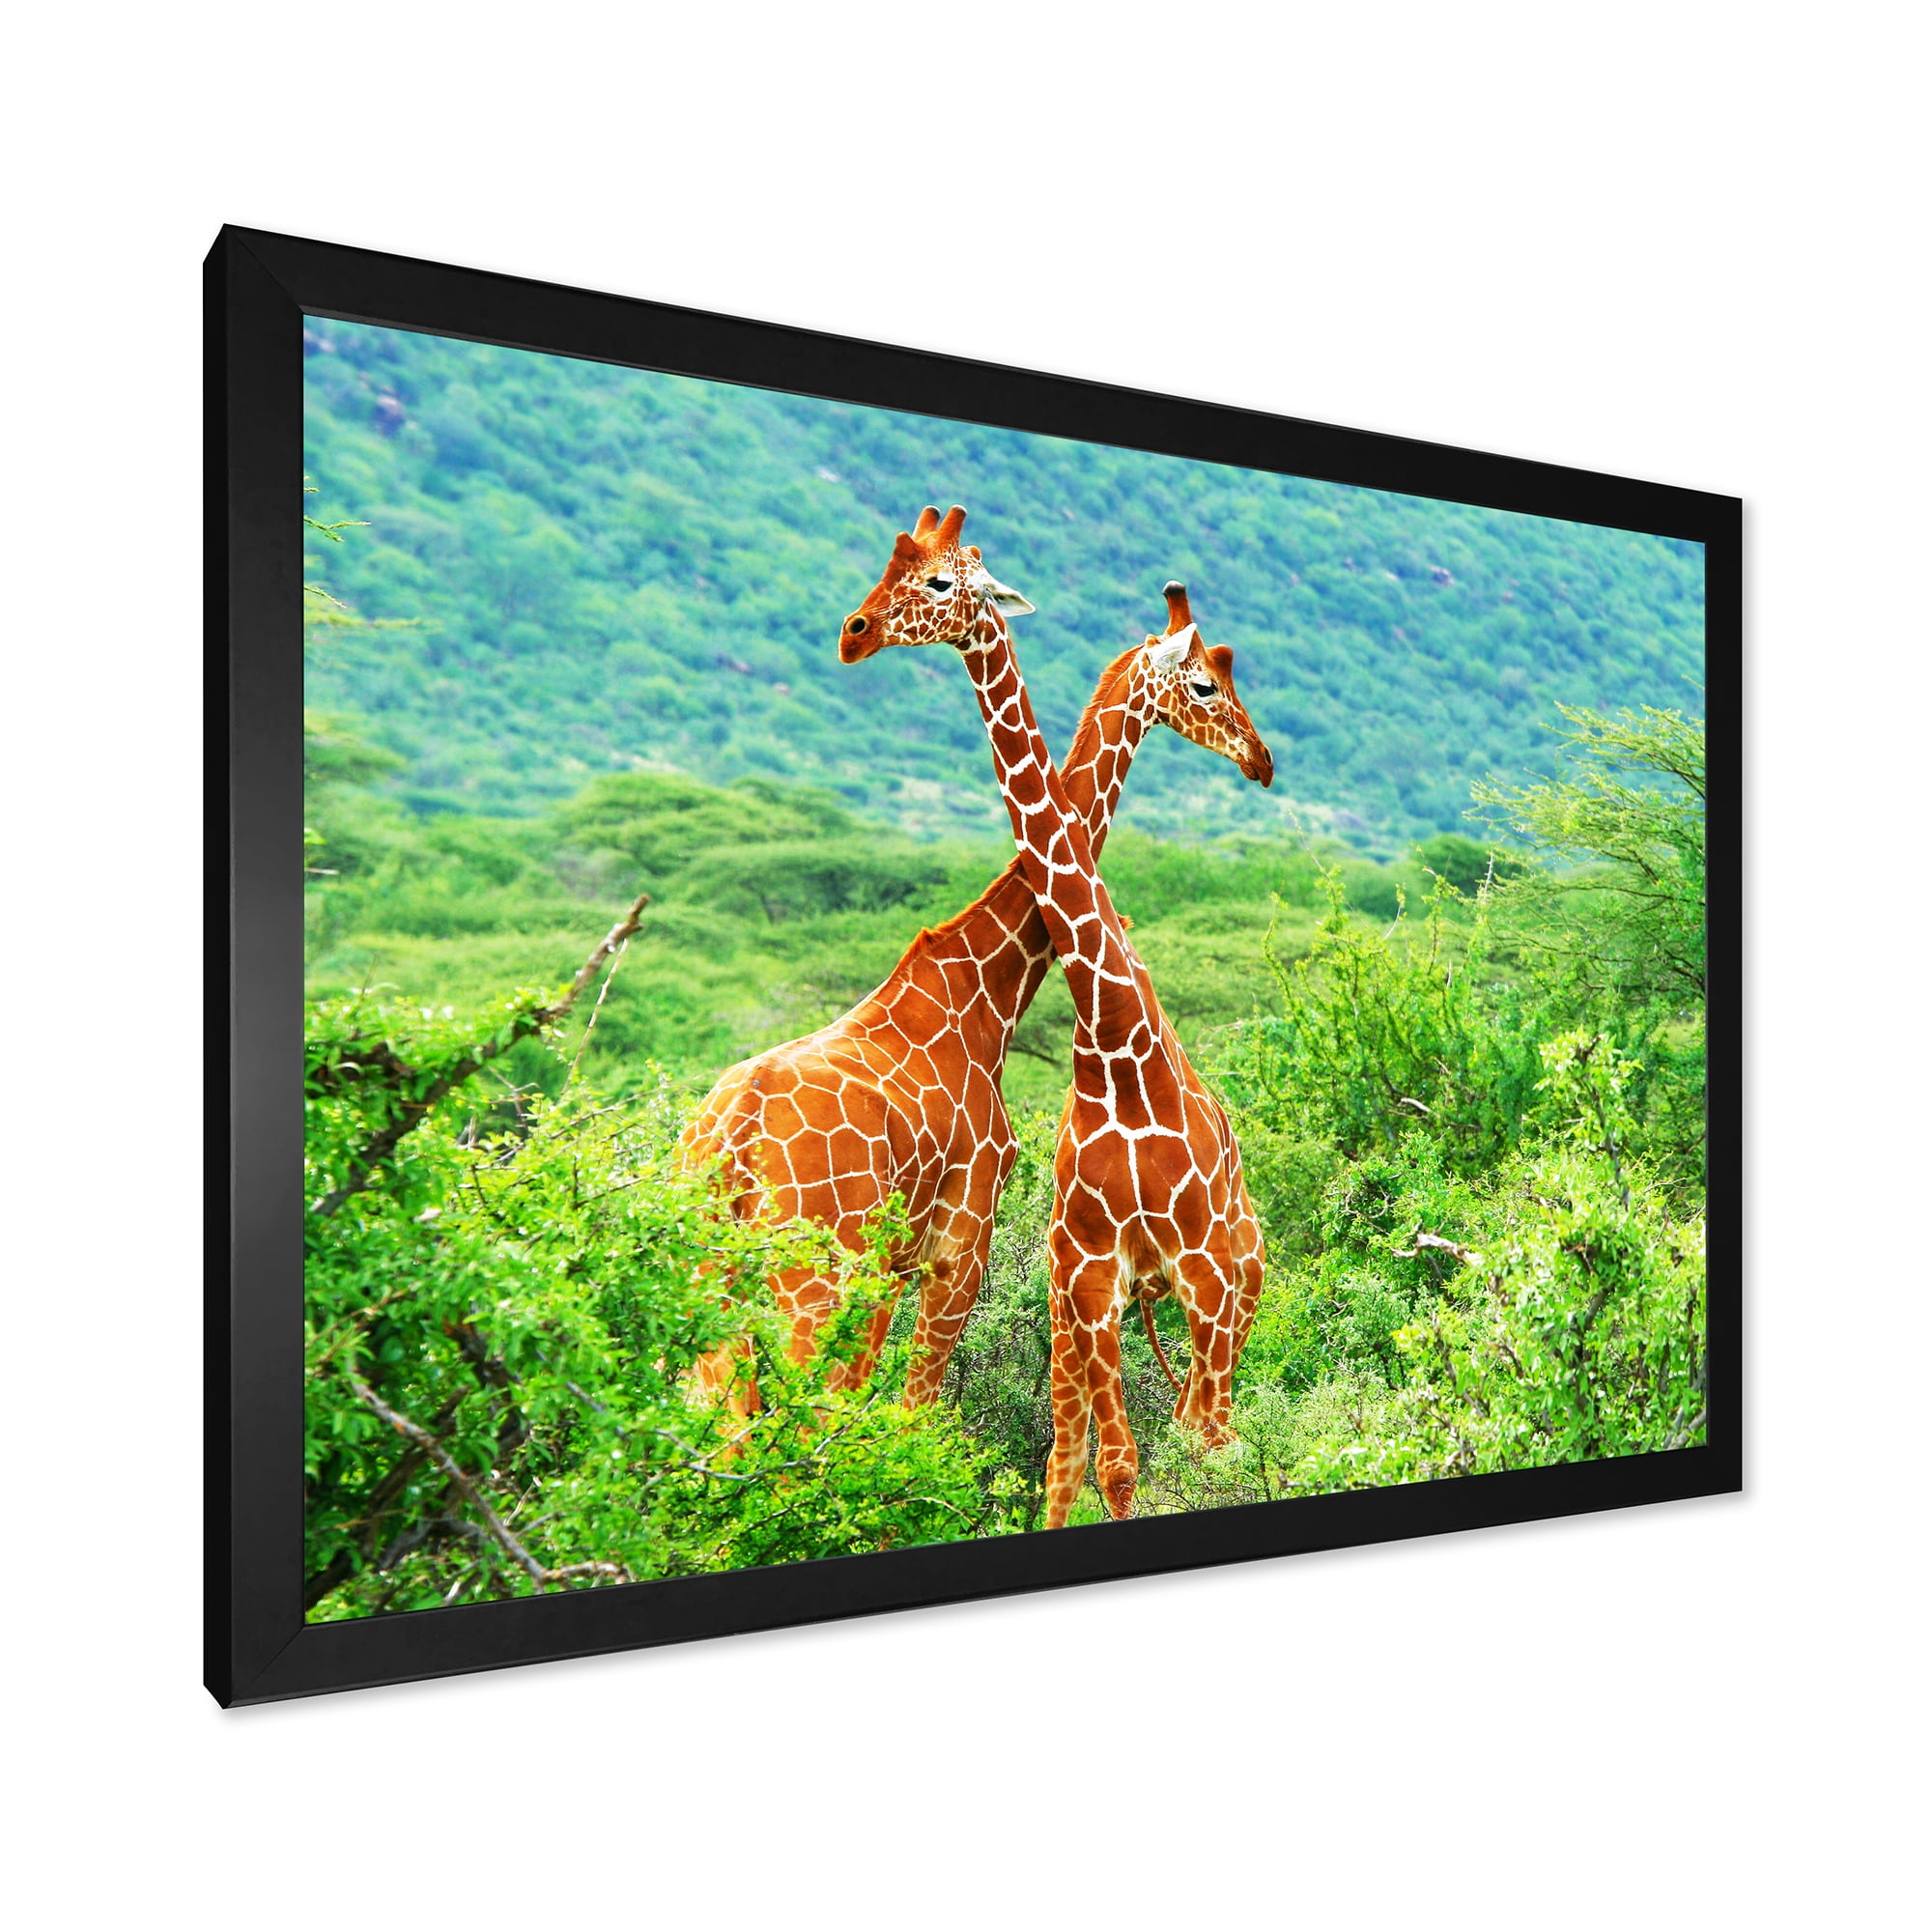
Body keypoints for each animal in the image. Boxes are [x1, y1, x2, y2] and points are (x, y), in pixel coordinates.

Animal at [682, 507, 1272, 1413]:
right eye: (1208, 684)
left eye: (931, 576)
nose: (1259, 758)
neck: (987, 987)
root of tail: (730, 1142)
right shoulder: (961, 1242)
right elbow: (910, 1412)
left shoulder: (900, 1263)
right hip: (809, 1277)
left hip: (711, 1281)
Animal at [840, 505, 1270, 1527]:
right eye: (1207, 681)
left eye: (938, 580)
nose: (1263, 760)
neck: (1115, 1047)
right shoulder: (1088, 1276)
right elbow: (1111, 1464)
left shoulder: (1199, 1272)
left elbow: (1187, 1448)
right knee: (1076, 1453)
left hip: (1236, 1288)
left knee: (1216, 1430)